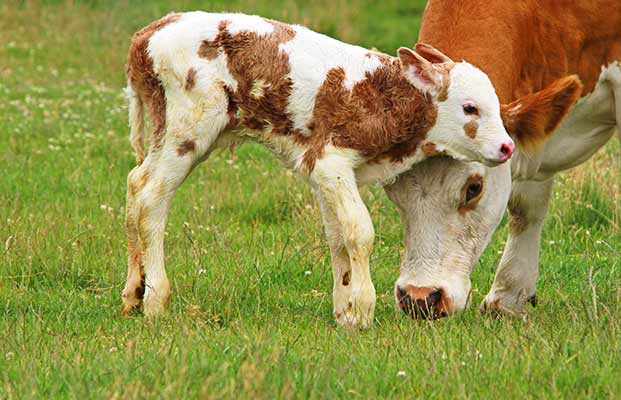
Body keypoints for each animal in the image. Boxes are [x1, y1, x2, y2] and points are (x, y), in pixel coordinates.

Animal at [117, 11, 528, 328]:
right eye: (470, 108)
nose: (506, 147)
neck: (382, 98)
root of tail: (147, 35)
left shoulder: (321, 171)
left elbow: (337, 235)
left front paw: (344, 312)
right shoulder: (330, 161)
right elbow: (360, 231)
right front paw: (363, 311)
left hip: (168, 129)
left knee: (135, 184)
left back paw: (133, 294)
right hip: (188, 128)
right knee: (152, 198)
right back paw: (156, 301)